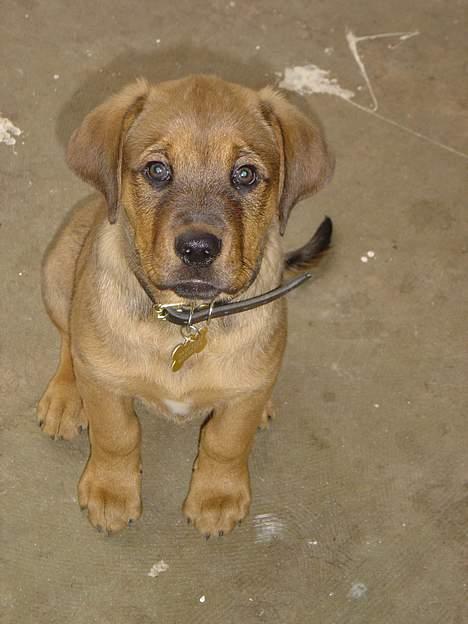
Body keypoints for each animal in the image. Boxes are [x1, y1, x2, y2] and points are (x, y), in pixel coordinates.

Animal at [38, 75, 334, 536]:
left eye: (245, 174)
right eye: (157, 170)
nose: (197, 249)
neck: (188, 317)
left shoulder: (242, 394)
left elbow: (225, 441)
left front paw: (216, 497)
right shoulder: (104, 384)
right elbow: (116, 434)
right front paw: (111, 491)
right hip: (57, 271)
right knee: (69, 339)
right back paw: (65, 397)